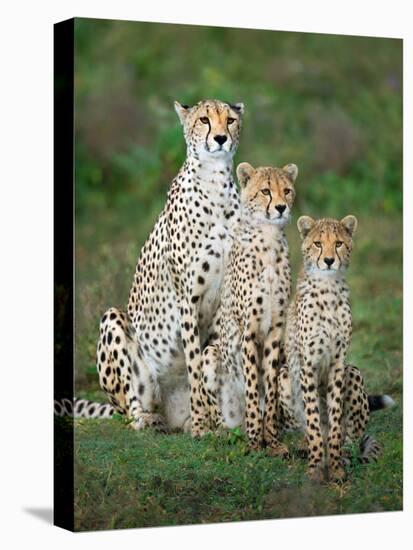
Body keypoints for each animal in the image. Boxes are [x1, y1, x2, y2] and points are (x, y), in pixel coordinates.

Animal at [95, 98, 243, 436]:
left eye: (230, 120)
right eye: (204, 120)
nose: (220, 138)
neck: (215, 183)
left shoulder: (222, 299)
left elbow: (211, 358)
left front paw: (216, 422)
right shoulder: (188, 298)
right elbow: (194, 363)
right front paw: (203, 424)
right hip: (114, 321)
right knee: (132, 408)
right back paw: (151, 419)